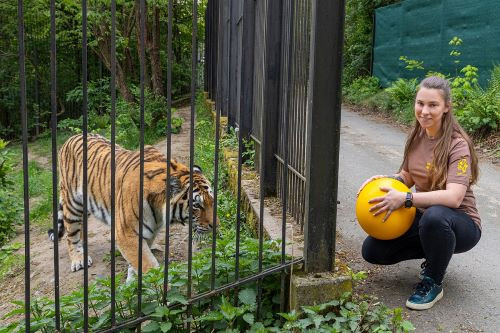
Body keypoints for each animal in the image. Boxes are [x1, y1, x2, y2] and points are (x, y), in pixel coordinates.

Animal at [47, 134, 218, 282]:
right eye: (197, 205)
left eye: (212, 200)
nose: (216, 225)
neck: (160, 211)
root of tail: (70, 138)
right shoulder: (126, 233)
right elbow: (149, 266)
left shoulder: (148, 232)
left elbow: (137, 262)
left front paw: (132, 283)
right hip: (73, 204)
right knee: (71, 235)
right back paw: (78, 259)